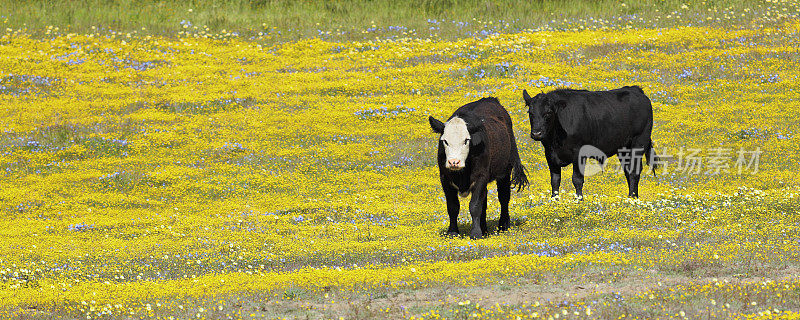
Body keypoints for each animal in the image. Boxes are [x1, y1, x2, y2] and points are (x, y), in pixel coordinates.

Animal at [428, 97, 528, 240]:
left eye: (466, 140)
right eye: (445, 141)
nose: (454, 162)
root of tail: (491, 99)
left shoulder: (480, 176)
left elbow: (474, 206)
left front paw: (475, 234)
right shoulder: (445, 178)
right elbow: (453, 206)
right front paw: (452, 232)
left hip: (505, 172)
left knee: (504, 198)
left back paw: (503, 226)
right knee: (484, 203)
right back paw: (484, 229)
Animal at [524, 86, 656, 199]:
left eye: (548, 113)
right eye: (530, 113)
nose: (536, 133)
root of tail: (636, 90)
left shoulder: (579, 153)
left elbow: (577, 179)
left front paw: (579, 200)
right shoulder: (550, 154)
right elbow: (555, 180)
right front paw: (554, 200)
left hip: (639, 142)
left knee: (634, 171)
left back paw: (633, 198)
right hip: (623, 149)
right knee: (627, 170)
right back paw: (631, 198)